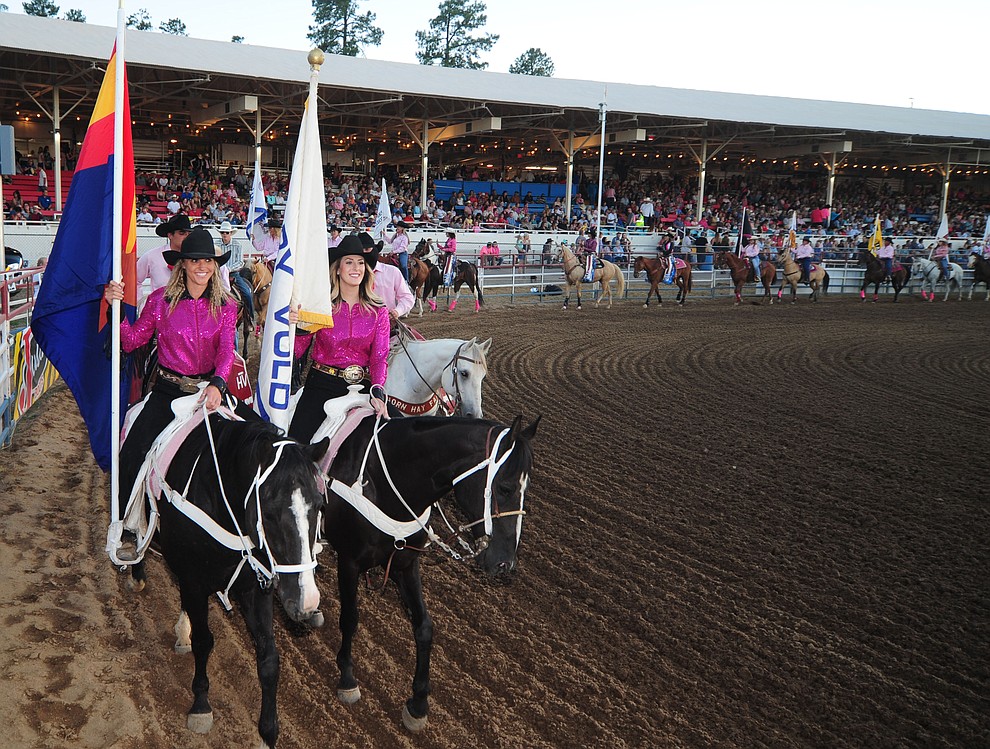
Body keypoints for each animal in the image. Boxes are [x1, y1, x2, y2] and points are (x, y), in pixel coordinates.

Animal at [120, 410, 328, 748]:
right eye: (270, 511)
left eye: (319, 506)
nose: (306, 601)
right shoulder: (195, 582)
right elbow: (205, 641)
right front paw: (201, 705)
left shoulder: (255, 589)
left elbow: (269, 658)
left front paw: (268, 730)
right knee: (140, 534)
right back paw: (137, 574)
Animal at [324, 412, 544, 728]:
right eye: (505, 487)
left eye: (527, 490)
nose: (506, 564)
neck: (384, 481)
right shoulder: (349, 561)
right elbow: (350, 618)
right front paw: (347, 678)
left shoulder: (405, 563)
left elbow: (425, 627)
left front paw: (418, 703)